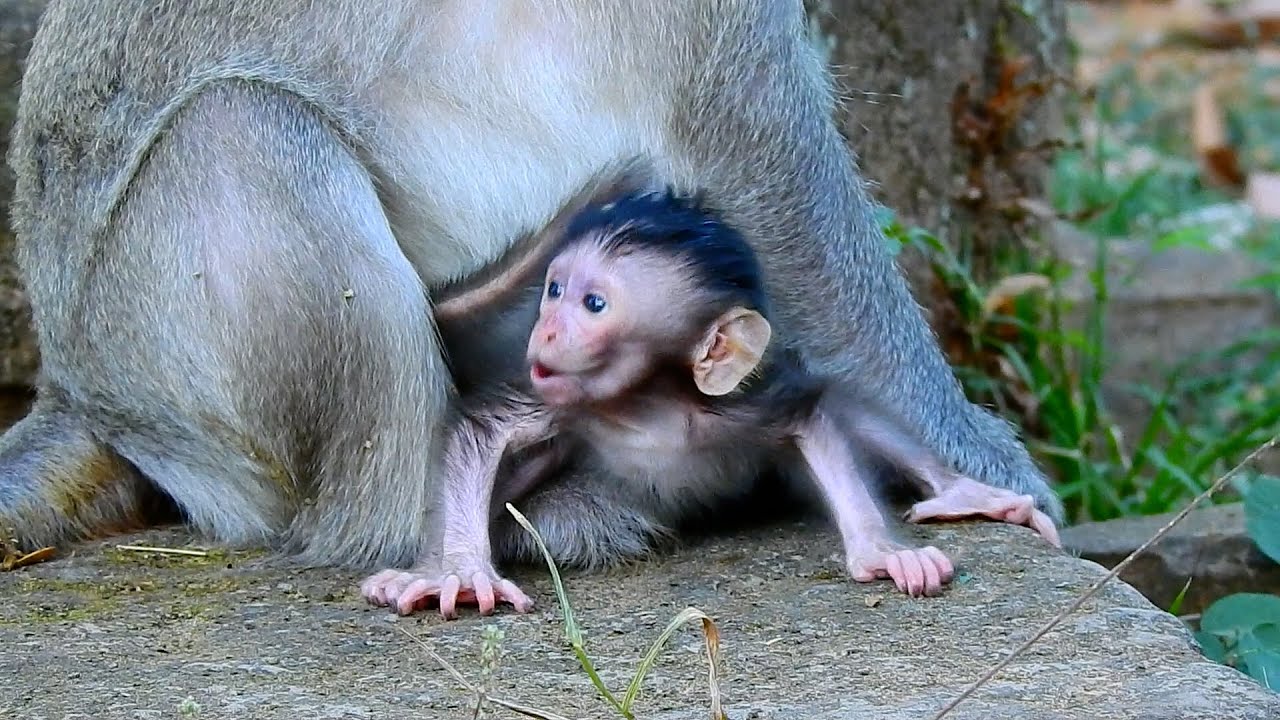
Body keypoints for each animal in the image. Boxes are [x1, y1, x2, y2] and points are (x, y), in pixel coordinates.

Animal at [361, 183, 1062, 618]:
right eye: (554, 290)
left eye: (593, 303)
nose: (547, 330)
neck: (648, 407)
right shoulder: (566, 402)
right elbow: (482, 436)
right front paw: (459, 571)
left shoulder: (740, 403)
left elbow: (813, 415)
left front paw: (881, 552)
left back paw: (964, 491)